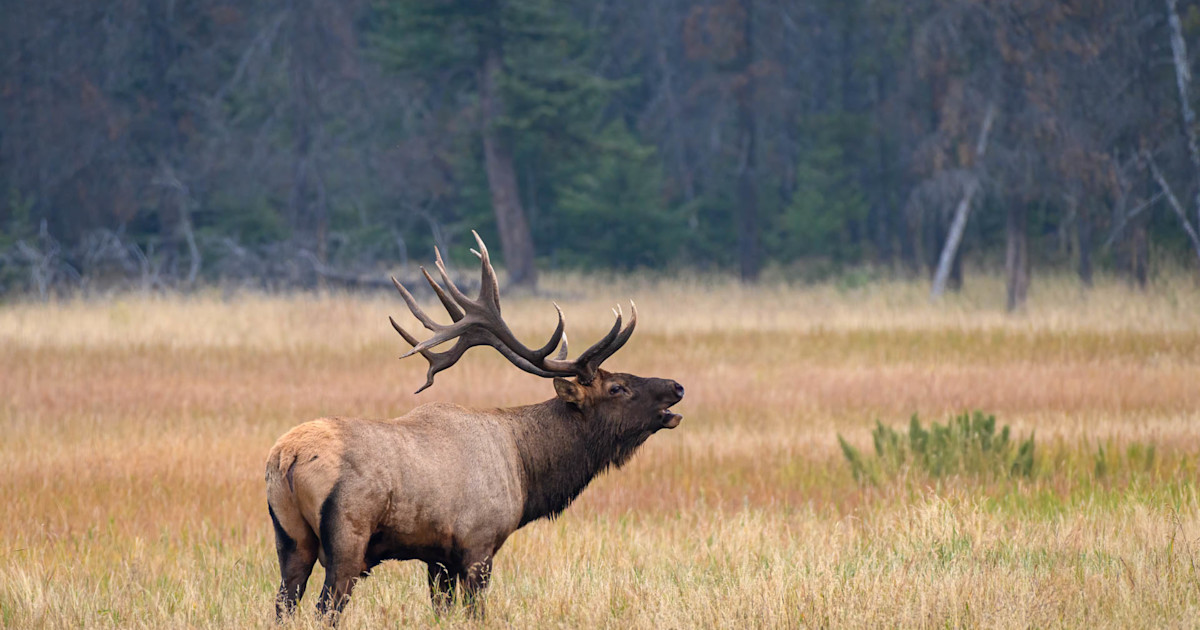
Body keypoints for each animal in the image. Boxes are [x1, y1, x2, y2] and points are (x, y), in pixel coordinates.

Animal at [264, 232, 684, 623]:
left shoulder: (438, 558)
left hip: (290, 539)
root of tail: (288, 457)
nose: (676, 387)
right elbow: (475, 612)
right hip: (348, 540)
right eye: (617, 387)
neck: (526, 469)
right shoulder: (478, 544)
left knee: (284, 604)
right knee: (325, 608)